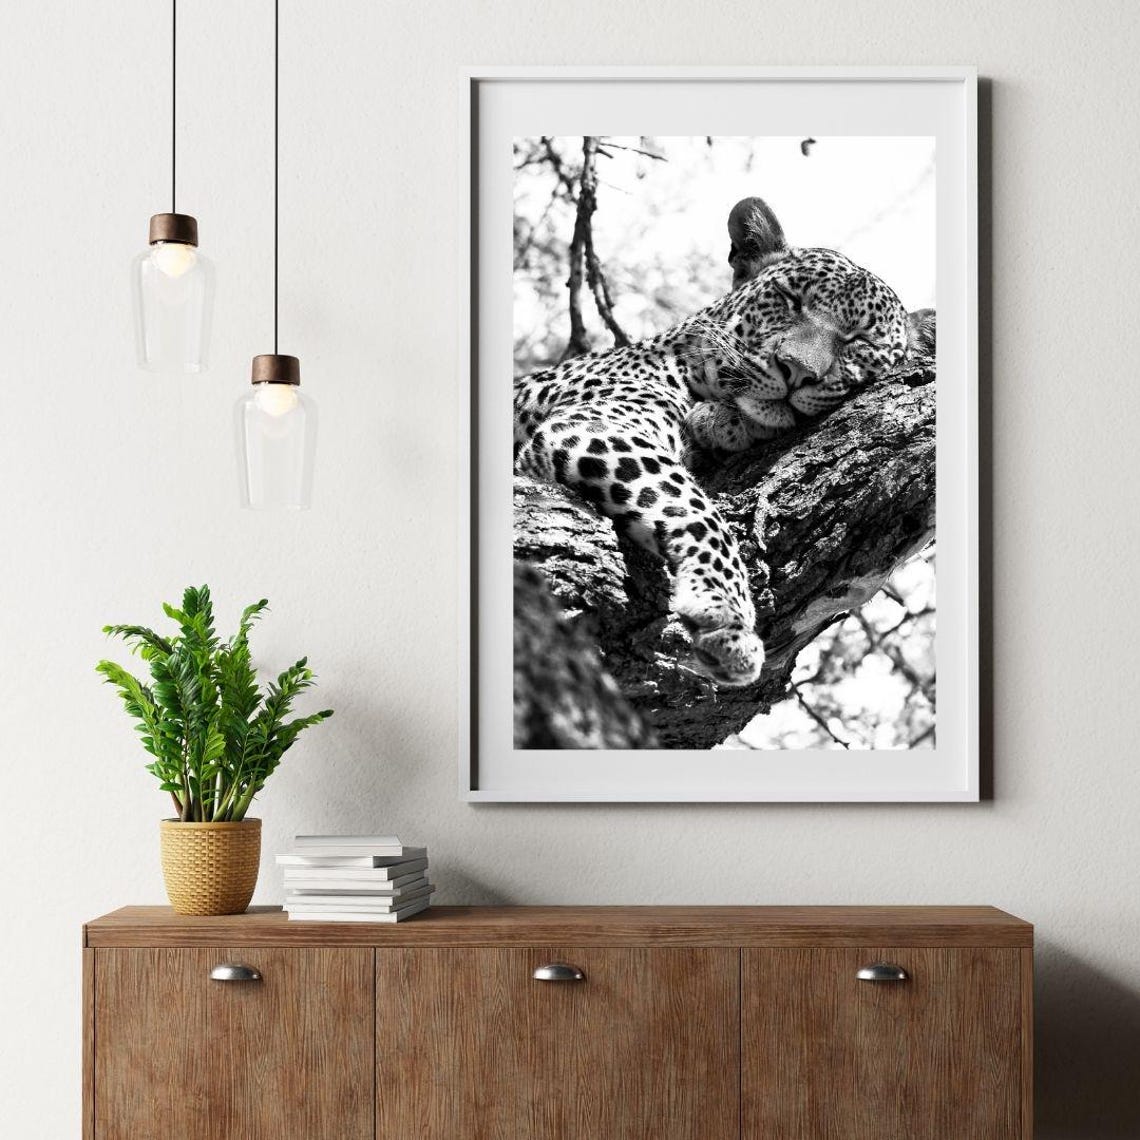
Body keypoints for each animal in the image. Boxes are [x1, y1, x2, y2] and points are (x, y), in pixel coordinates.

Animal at [514, 196, 925, 689]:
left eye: (858, 340)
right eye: (792, 301)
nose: (796, 370)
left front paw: (720, 424)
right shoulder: (597, 423)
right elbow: (696, 510)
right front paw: (726, 616)